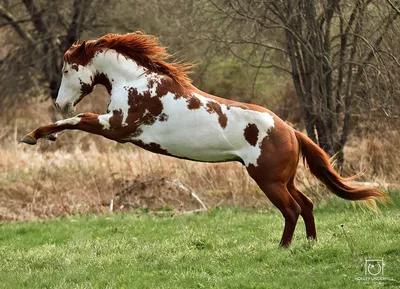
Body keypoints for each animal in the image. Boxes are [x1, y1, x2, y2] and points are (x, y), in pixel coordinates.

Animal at [19, 32, 388, 248]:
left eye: (67, 70)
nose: (59, 102)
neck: (138, 82)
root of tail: (290, 131)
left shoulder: (117, 127)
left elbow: (78, 120)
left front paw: (33, 136)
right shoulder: (114, 126)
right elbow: (75, 121)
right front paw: (46, 135)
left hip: (269, 181)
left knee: (292, 209)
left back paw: (283, 248)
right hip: (284, 179)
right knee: (307, 205)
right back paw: (310, 245)